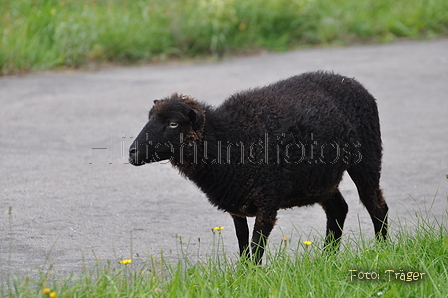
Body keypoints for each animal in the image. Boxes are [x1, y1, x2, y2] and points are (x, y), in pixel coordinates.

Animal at [129, 71, 388, 262]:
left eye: (173, 123)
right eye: (149, 118)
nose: (131, 152)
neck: (229, 139)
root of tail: (354, 83)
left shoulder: (267, 198)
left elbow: (256, 244)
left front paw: (253, 275)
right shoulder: (236, 202)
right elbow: (243, 242)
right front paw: (243, 275)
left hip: (367, 157)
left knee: (376, 204)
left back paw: (382, 250)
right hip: (320, 179)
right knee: (338, 209)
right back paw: (327, 258)